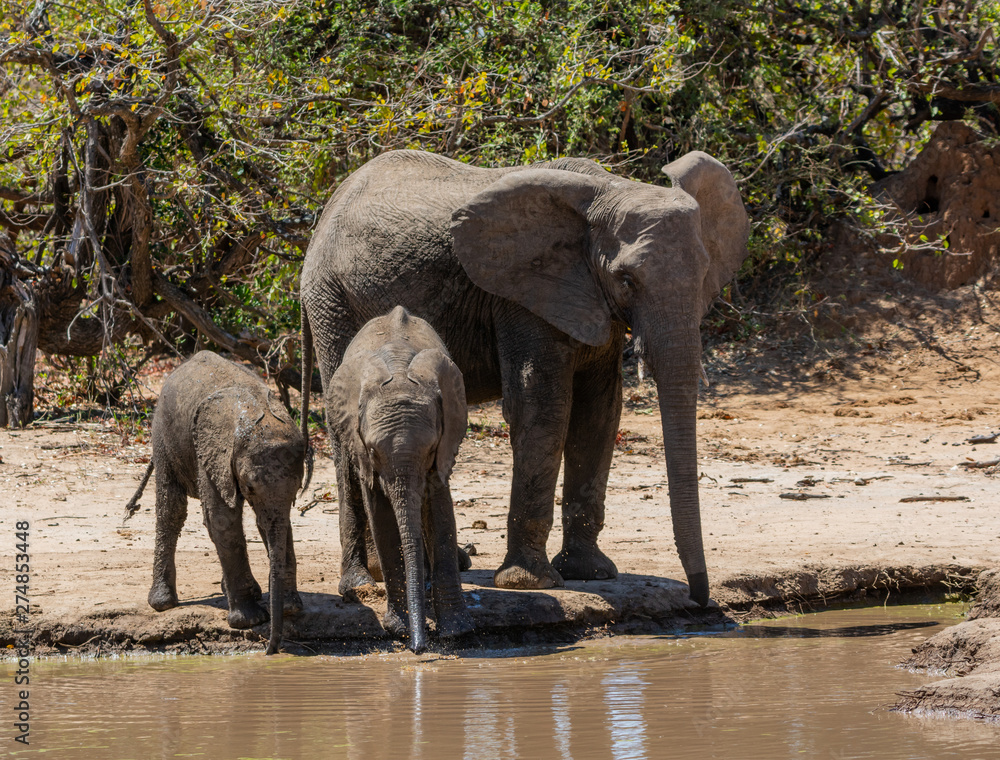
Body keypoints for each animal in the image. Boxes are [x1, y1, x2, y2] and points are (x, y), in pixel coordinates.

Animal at [124, 350, 307, 654]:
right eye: (249, 486)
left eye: (296, 493)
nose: (271, 650)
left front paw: (290, 608)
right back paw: (163, 603)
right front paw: (250, 621)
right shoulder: (212, 453)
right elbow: (223, 518)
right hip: (163, 432)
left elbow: (270, 523)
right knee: (171, 508)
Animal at [299, 149, 750, 605]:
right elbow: (542, 406)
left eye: (704, 275)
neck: (610, 191)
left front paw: (590, 573)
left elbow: (599, 414)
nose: (699, 599)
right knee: (348, 432)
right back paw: (367, 578)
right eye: (626, 280)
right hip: (333, 303)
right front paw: (529, 582)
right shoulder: (522, 296)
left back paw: (447, 563)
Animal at [325, 306, 473, 652]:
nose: (418, 647)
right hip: (341, 427)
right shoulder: (361, 445)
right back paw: (358, 585)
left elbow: (441, 510)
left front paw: (455, 632)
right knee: (349, 480)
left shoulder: (444, 440)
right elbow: (381, 515)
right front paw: (399, 629)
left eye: (431, 448)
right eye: (373, 450)